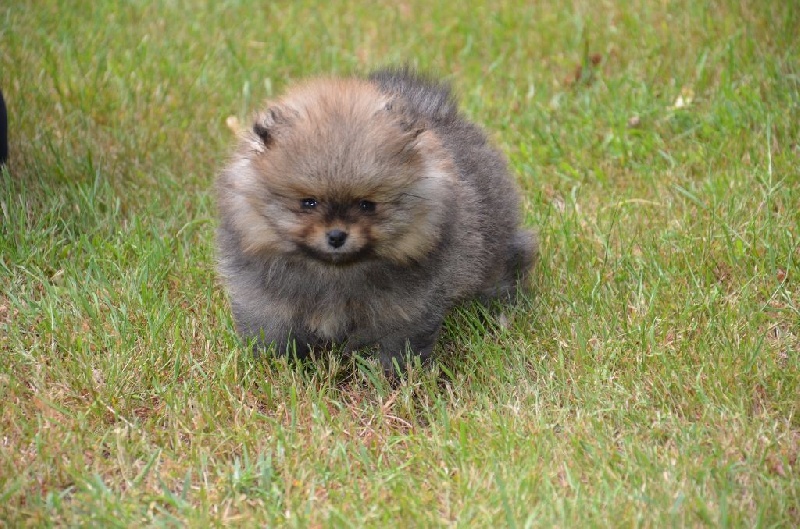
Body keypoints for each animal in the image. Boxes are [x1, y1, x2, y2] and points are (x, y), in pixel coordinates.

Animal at [216, 68, 536, 372]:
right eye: (309, 202)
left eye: (367, 205)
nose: (336, 236)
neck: (335, 273)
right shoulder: (267, 301)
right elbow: (274, 334)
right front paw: (276, 365)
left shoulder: (406, 307)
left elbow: (398, 345)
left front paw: (395, 376)